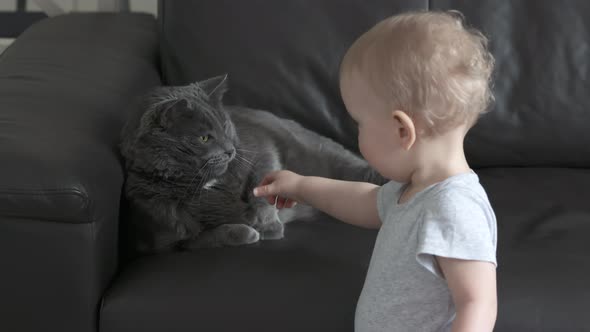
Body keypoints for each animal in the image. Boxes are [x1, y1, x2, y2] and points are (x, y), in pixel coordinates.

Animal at [122, 74, 386, 252]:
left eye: (225, 126)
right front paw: (245, 231)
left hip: (323, 155)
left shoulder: (259, 148)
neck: (205, 183)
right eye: (204, 138)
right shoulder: (161, 237)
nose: (230, 150)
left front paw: (267, 225)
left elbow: (262, 179)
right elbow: (202, 238)